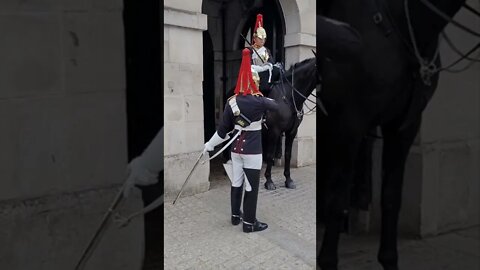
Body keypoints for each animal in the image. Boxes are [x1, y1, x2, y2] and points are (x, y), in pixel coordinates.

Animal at [316, 0, 470, 270]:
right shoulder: (348, 125)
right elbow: (336, 200)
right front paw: (327, 261)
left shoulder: (403, 127)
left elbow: (391, 197)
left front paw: (389, 259)